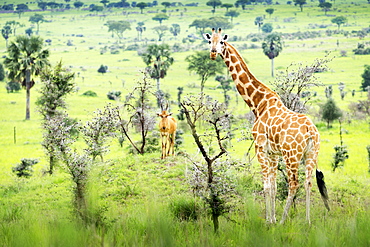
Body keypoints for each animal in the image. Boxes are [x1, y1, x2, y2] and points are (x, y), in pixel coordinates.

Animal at [202, 28, 330, 224]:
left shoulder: (260, 148)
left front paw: (270, 221)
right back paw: (307, 222)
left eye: (222, 42)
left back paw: (285, 221)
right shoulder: (273, 153)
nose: (213, 53)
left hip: (291, 155)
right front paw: (273, 218)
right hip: (311, 153)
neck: (258, 103)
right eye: (210, 42)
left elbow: (267, 186)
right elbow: (274, 186)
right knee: (308, 182)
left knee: (294, 183)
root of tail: (310, 130)